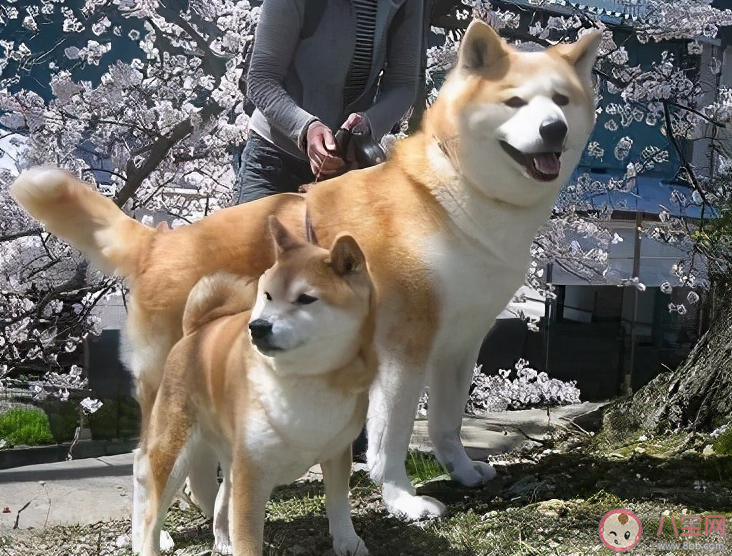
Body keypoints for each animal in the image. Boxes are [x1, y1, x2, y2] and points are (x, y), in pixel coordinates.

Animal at [140, 217, 374, 556]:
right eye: (267, 296)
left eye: (305, 298)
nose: (258, 327)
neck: (305, 379)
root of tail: (195, 330)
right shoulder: (252, 472)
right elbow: (248, 536)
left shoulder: (336, 452)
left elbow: (338, 503)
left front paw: (348, 542)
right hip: (175, 455)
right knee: (152, 518)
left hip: (228, 454)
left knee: (221, 499)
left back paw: (223, 541)